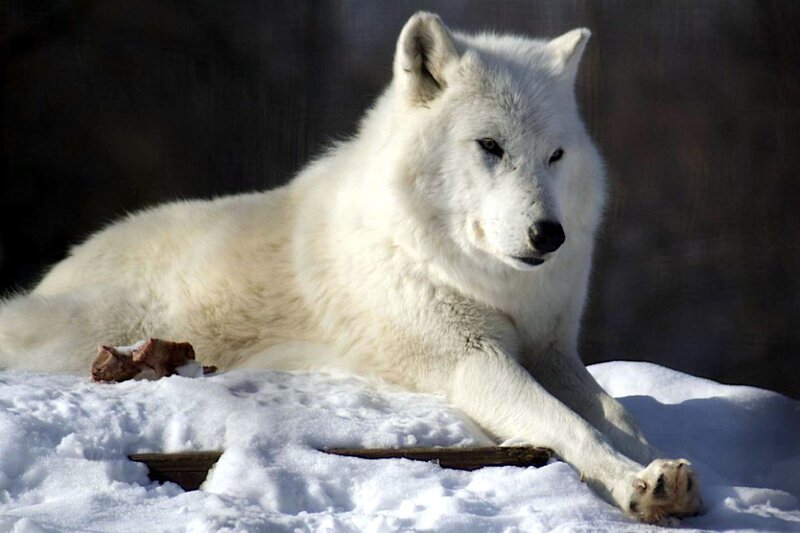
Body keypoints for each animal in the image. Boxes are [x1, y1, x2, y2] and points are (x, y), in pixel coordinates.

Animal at [0, 13, 701, 523]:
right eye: (490, 146)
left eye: (555, 155)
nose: (548, 235)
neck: (479, 277)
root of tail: (56, 275)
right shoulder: (469, 357)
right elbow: (569, 426)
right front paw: (635, 484)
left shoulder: (551, 349)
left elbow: (619, 417)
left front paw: (677, 474)